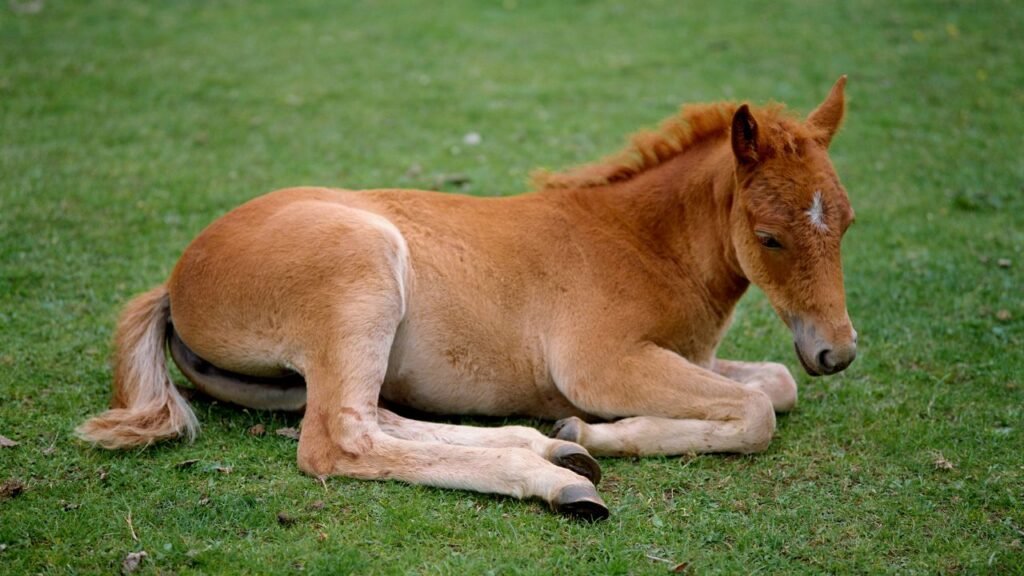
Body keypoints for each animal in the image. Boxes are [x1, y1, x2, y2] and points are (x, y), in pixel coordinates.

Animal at [77, 77, 857, 521]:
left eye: (847, 221)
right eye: (769, 236)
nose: (838, 352)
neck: (641, 242)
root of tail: (176, 279)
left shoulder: (689, 356)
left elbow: (776, 385)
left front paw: (585, 432)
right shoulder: (604, 365)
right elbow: (757, 411)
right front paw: (600, 431)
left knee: (375, 414)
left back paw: (552, 446)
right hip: (362, 276)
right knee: (340, 439)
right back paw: (554, 478)